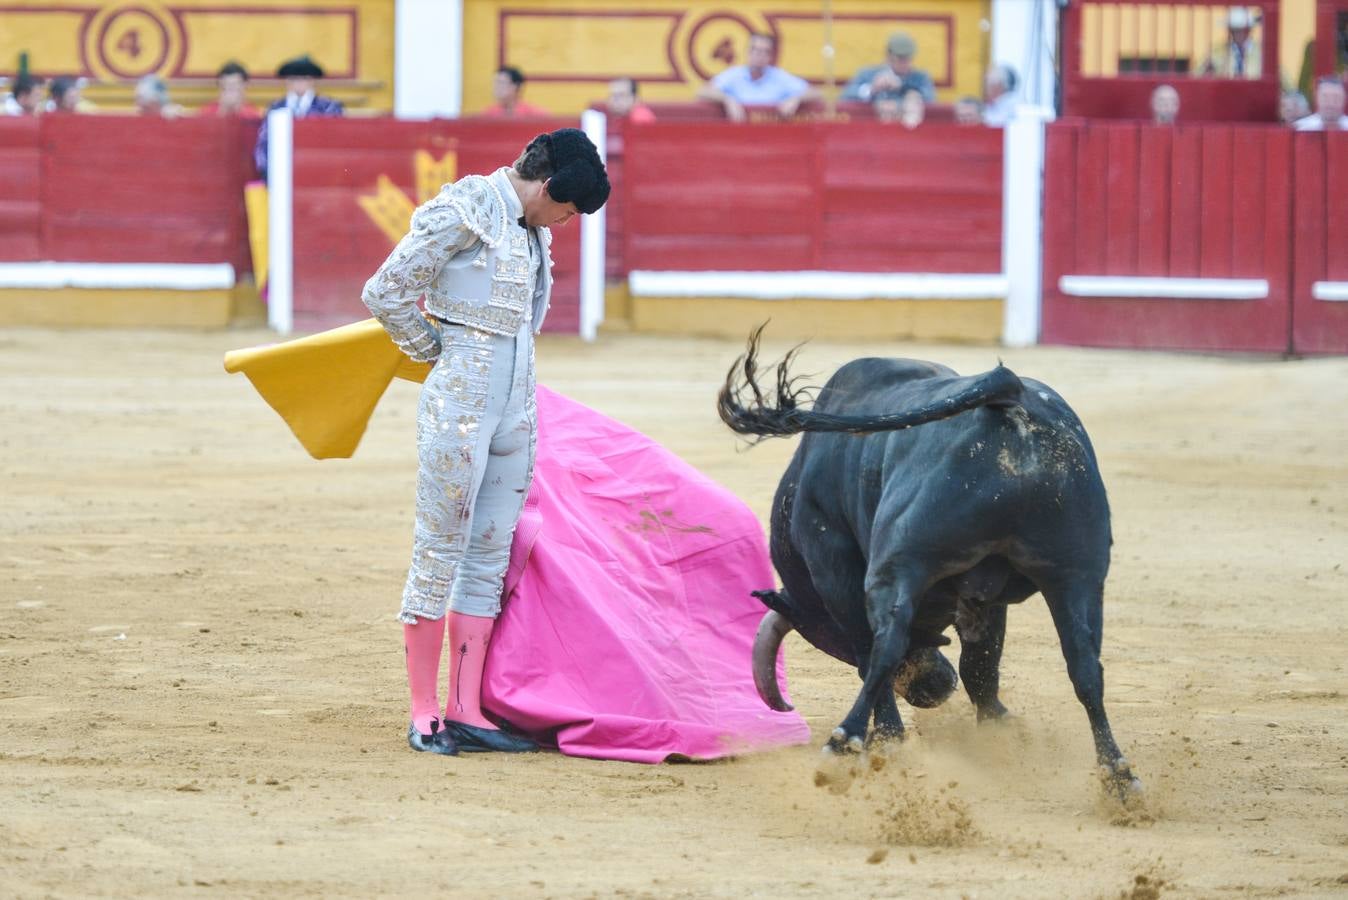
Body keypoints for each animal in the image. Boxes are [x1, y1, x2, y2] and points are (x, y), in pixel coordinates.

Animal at [717, 332, 1137, 792]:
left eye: (831, 643)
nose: (934, 688)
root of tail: (1009, 391)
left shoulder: (835, 572)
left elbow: (869, 655)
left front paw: (887, 739)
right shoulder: (985, 596)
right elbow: (980, 664)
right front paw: (1001, 728)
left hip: (900, 561)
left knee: (885, 647)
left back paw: (846, 742)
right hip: (1078, 573)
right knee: (1085, 666)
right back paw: (1118, 776)